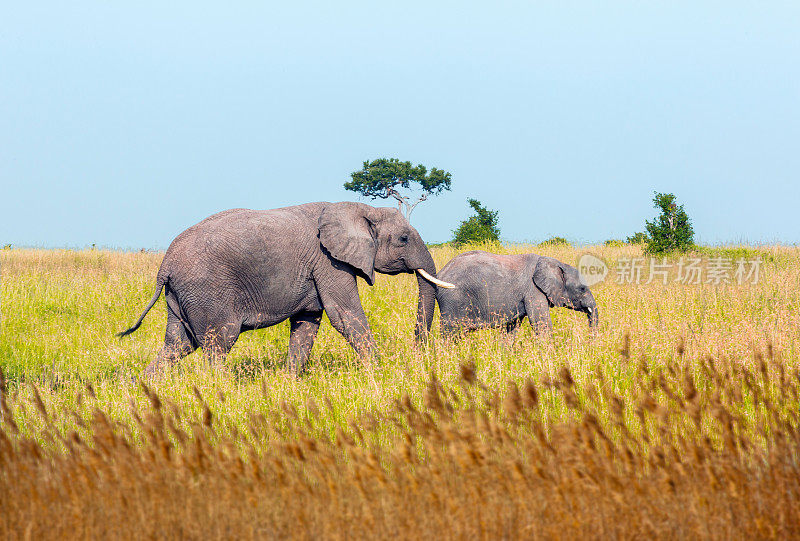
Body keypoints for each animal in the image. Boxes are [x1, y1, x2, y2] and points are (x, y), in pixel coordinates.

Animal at [119, 200, 456, 374]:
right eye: (403, 239)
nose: (419, 352)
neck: (356, 208)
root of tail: (165, 265)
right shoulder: (328, 261)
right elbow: (345, 315)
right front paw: (380, 373)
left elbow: (307, 323)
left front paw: (292, 381)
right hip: (208, 291)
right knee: (217, 343)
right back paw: (217, 390)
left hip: (181, 296)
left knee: (178, 344)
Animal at [434, 250, 596, 338]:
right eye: (582, 288)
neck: (555, 263)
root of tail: (440, 273)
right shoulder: (533, 290)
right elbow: (541, 324)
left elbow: (511, 328)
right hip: (453, 300)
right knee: (450, 333)